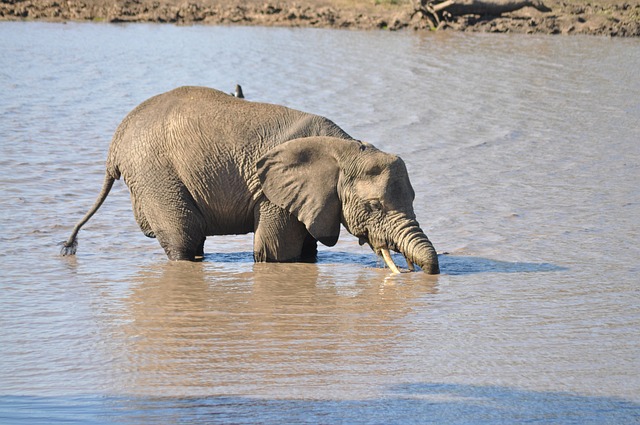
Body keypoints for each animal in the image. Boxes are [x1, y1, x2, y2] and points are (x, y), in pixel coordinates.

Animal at [61, 85, 440, 274]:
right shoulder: (273, 194)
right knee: (184, 238)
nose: (417, 272)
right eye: (373, 207)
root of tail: (116, 142)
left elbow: (306, 252)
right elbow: (276, 253)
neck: (344, 148)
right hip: (154, 173)